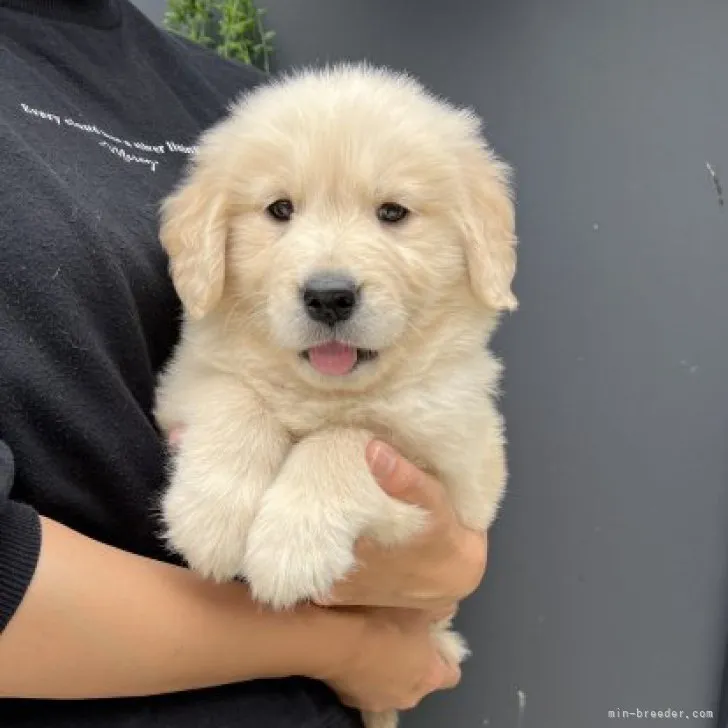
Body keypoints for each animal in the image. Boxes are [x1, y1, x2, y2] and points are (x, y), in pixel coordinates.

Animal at [154, 62, 516, 728]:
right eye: (280, 209)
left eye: (393, 212)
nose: (328, 296)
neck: (324, 392)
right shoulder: (185, 380)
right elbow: (239, 398)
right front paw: (210, 517)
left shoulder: (457, 474)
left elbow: (347, 439)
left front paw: (289, 544)